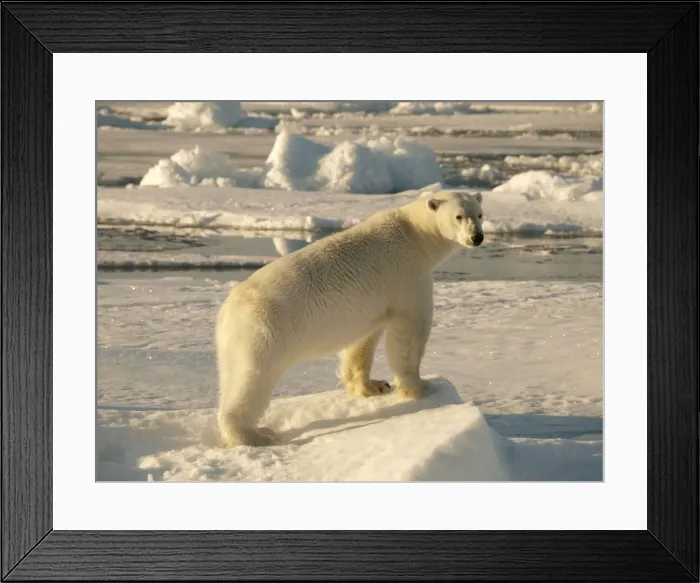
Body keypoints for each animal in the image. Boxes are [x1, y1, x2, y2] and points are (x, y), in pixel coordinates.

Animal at [215, 190, 485, 447]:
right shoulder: (407, 274)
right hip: (264, 332)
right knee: (252, 380)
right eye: (459, 216)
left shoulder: (374, 305)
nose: (477, 237)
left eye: (480, 214)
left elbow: (363, 341)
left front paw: (374, 386)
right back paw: (254, 436)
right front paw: (424, 387)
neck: (413, 234)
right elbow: (409, 331)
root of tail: (226, 311)